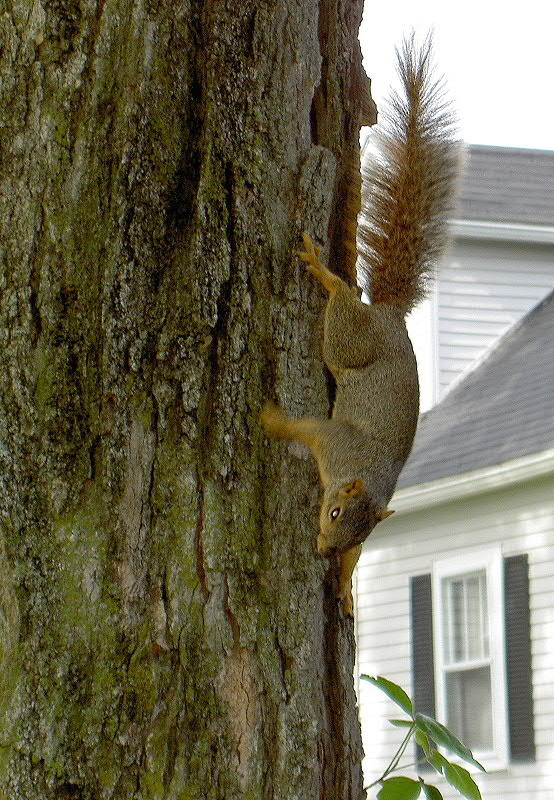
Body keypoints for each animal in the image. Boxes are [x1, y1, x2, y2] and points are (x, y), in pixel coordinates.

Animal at [261, 36, 462, 615]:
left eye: (359, 536)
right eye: (332, 513)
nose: (325, 550)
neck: (364, 477)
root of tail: (390, 318)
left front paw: (345, 587)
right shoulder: (332, 438)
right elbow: (302, 428)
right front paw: (270, 420)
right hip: (348, 342)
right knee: (342, 305)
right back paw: (327, 276)